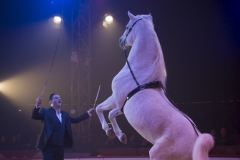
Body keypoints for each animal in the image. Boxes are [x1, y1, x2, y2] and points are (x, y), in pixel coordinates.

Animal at [95, 11, 214, 160]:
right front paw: (118, 134)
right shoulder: (121, 106)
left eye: (127, 27)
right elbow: (107, 111)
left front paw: (112, 132)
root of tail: (195, 141)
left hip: (156, 154)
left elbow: (101, 110)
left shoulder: (116, 99)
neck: (139, 72)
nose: (120, 40)